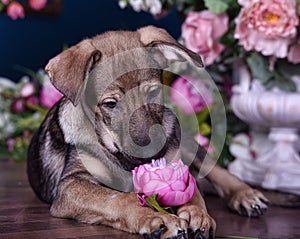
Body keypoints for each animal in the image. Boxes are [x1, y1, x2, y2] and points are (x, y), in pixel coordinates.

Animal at [27, 26, 268, 239]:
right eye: (111, 104)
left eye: (153, 92)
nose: (153, 152)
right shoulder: (72, 184)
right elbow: (117, 198)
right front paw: (157, 219)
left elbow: (194, 192)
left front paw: (198, 215)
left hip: (183, 139)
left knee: (215, 170)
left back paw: (246, 195)